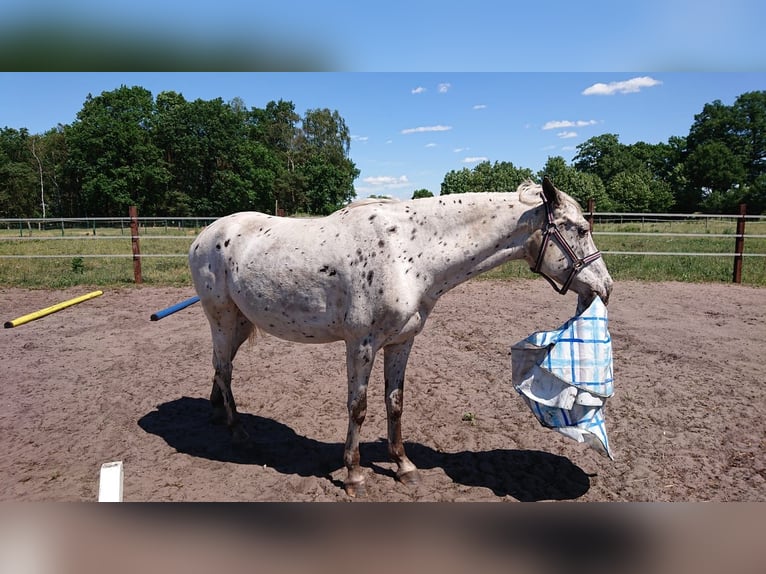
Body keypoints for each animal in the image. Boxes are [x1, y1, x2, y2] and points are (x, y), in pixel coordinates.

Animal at [189, 178, 616, 498]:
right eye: (581, 229)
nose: (606, 287)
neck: (407, 252)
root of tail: (206, 234)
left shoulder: (401, 343)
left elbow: (395, 403)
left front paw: (404, 466)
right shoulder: (361, 345)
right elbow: (358, 407)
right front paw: (354, 475)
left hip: (240, 323)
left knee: (219, 369)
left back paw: (217, 413)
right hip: (222, 319)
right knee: (224, 369)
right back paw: (237, 431)